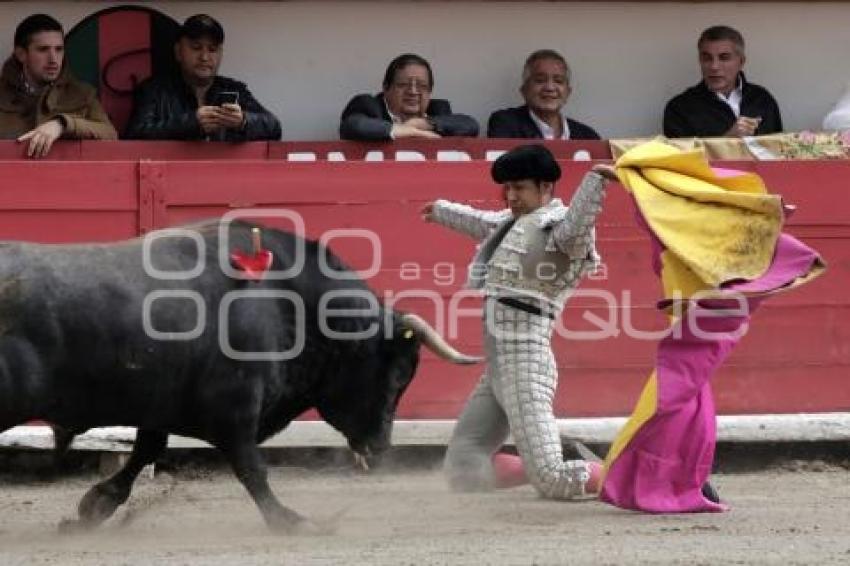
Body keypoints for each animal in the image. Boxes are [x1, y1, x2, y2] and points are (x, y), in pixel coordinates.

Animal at [0, 221, 476, 532]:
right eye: (394, 374)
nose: (380, 448)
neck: (289, 303)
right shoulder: (236, 407)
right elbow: (252, 468)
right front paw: (291, 520)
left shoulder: (162, 404)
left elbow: (146, 450)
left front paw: (93, 507)